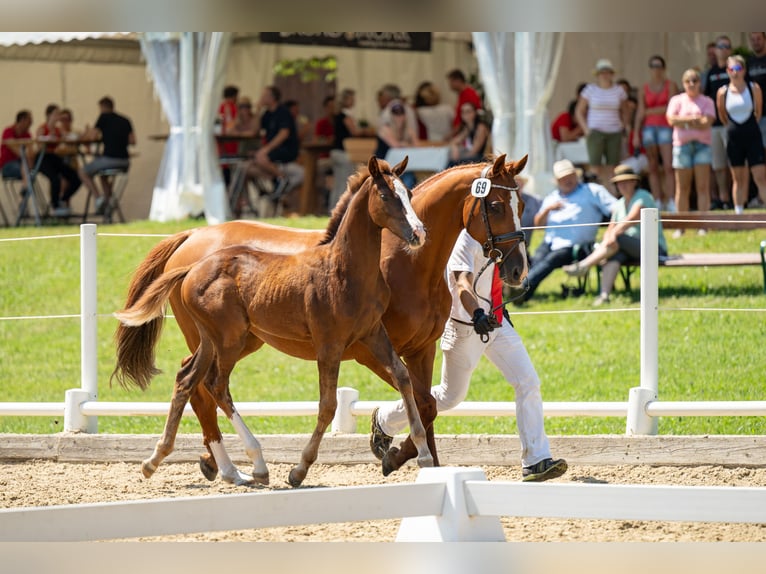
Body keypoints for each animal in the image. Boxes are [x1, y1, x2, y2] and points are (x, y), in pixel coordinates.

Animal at [112, 153, 529, 480]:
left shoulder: (419, 348)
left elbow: (425, 402)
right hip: (223, 338)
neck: (405, 262)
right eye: (494, 206)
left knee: (191, 379)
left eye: (521, 205)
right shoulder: (361, 349)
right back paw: (235, 464)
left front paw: (420, 459)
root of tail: (191, 235)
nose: (517, 270)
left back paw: (215, 464)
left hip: (236, 339)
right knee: (205, 386)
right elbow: (415, 402)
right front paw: (389, 451)